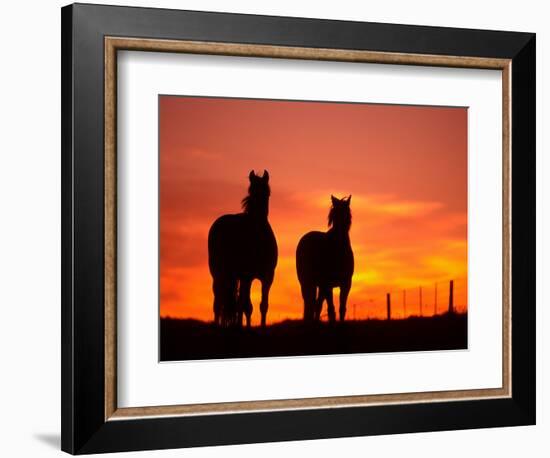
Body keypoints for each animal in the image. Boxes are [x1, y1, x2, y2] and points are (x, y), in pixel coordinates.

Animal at [207, 170, 278, 328]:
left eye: (267, 192)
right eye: (251, 191)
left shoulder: (267, 277)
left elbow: (263, 305)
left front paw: (262, 326)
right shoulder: (247, 276)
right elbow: (246, 305)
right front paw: (244, 327)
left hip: (233, 275)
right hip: (219, 274)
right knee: (219, 302)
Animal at [296, 194, 356, 322]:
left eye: (347, 213)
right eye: (334, 214)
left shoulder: (346, 283)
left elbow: (342, 308)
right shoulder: (327, 284)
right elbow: (331, 310)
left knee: (316, 304)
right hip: (307, 282)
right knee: (310, 304)